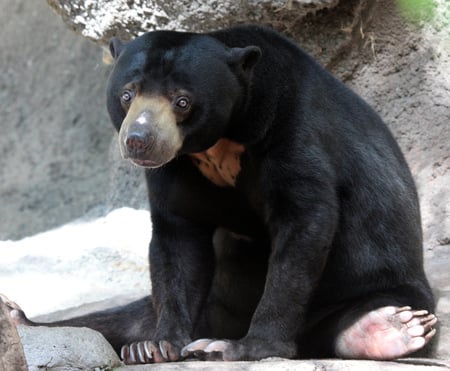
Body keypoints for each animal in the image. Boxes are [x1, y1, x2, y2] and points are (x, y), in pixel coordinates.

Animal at [4, 24, 440, 364]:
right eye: (127, 94)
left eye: (182, 101)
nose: (139, 141)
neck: (220, 141)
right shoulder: (175, 168)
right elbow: (178, 236)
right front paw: (159, 347)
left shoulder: (291, 130)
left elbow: (304, 221)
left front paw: (242, 348)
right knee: (119, 319)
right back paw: (28, 319)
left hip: (381, 279)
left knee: (360, 311)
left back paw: (393, 327)